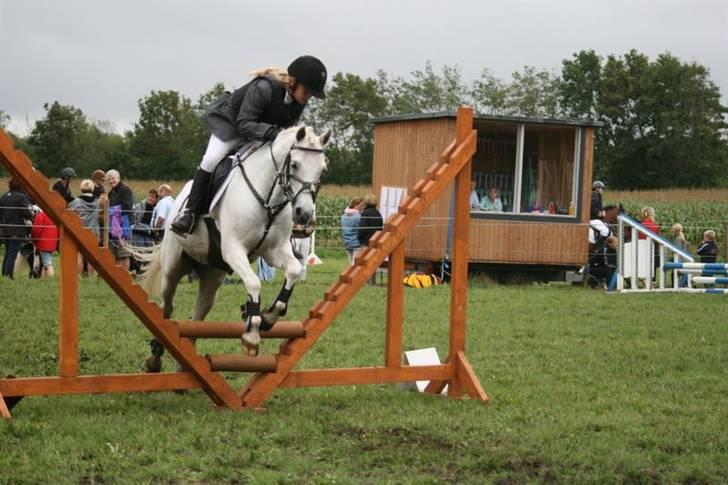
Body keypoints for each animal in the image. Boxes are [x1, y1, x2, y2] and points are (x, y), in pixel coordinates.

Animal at [140, 125, 330, 369]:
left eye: (322, 170)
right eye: (295, 164)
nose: (304, 214)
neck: (268, 198)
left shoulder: (274, 251)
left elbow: (295, 271)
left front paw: (268, 317)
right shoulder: (234, 250)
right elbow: (254, 282)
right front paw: (252, 334)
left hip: (211, 276)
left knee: (197, 315)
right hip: (173, 266)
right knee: (167, 306)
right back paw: (155, 357)